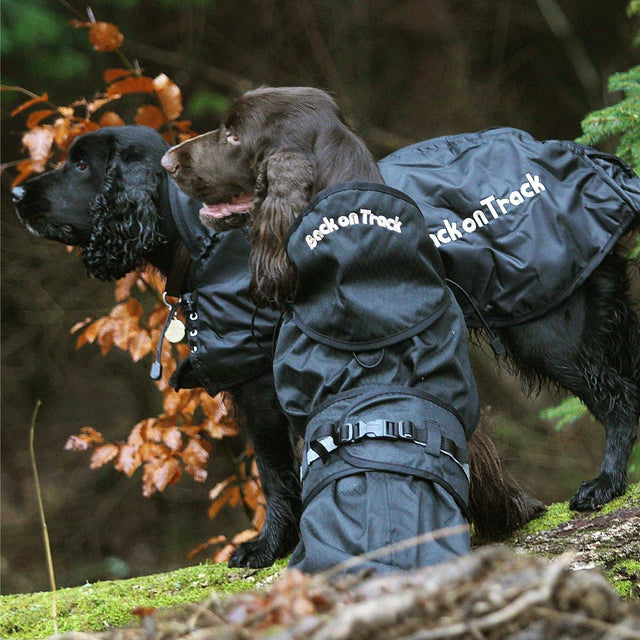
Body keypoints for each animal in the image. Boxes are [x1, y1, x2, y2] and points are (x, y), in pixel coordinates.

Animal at [161, 87, 640, 512]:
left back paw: (604, 484)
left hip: (548, 328)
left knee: (621, 403)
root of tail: (592, 162)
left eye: (233, 135)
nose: (167, 162)